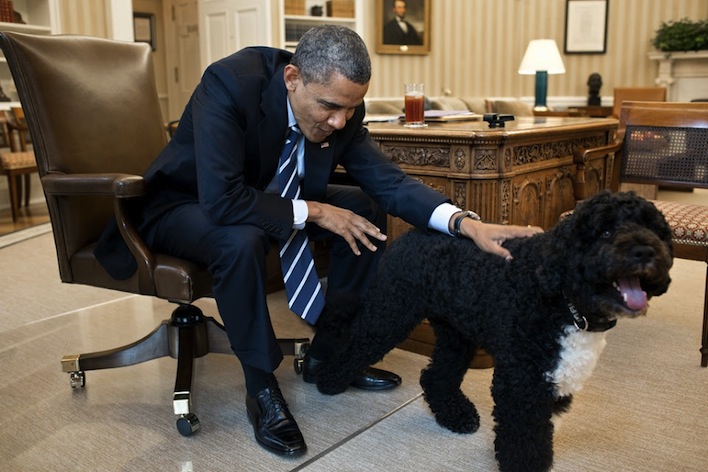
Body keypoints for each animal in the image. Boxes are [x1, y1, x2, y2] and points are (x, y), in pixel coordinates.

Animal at [312, 192, 672, 472]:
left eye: (653, 228)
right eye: (605, 230)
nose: (644, 251)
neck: (564, 299)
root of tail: (411, 234)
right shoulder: (519, 381)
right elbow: (524, 440)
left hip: (456, 334)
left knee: (436, 376)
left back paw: (456, 416)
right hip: (391, 312)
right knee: (355, 346)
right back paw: (328, 380)